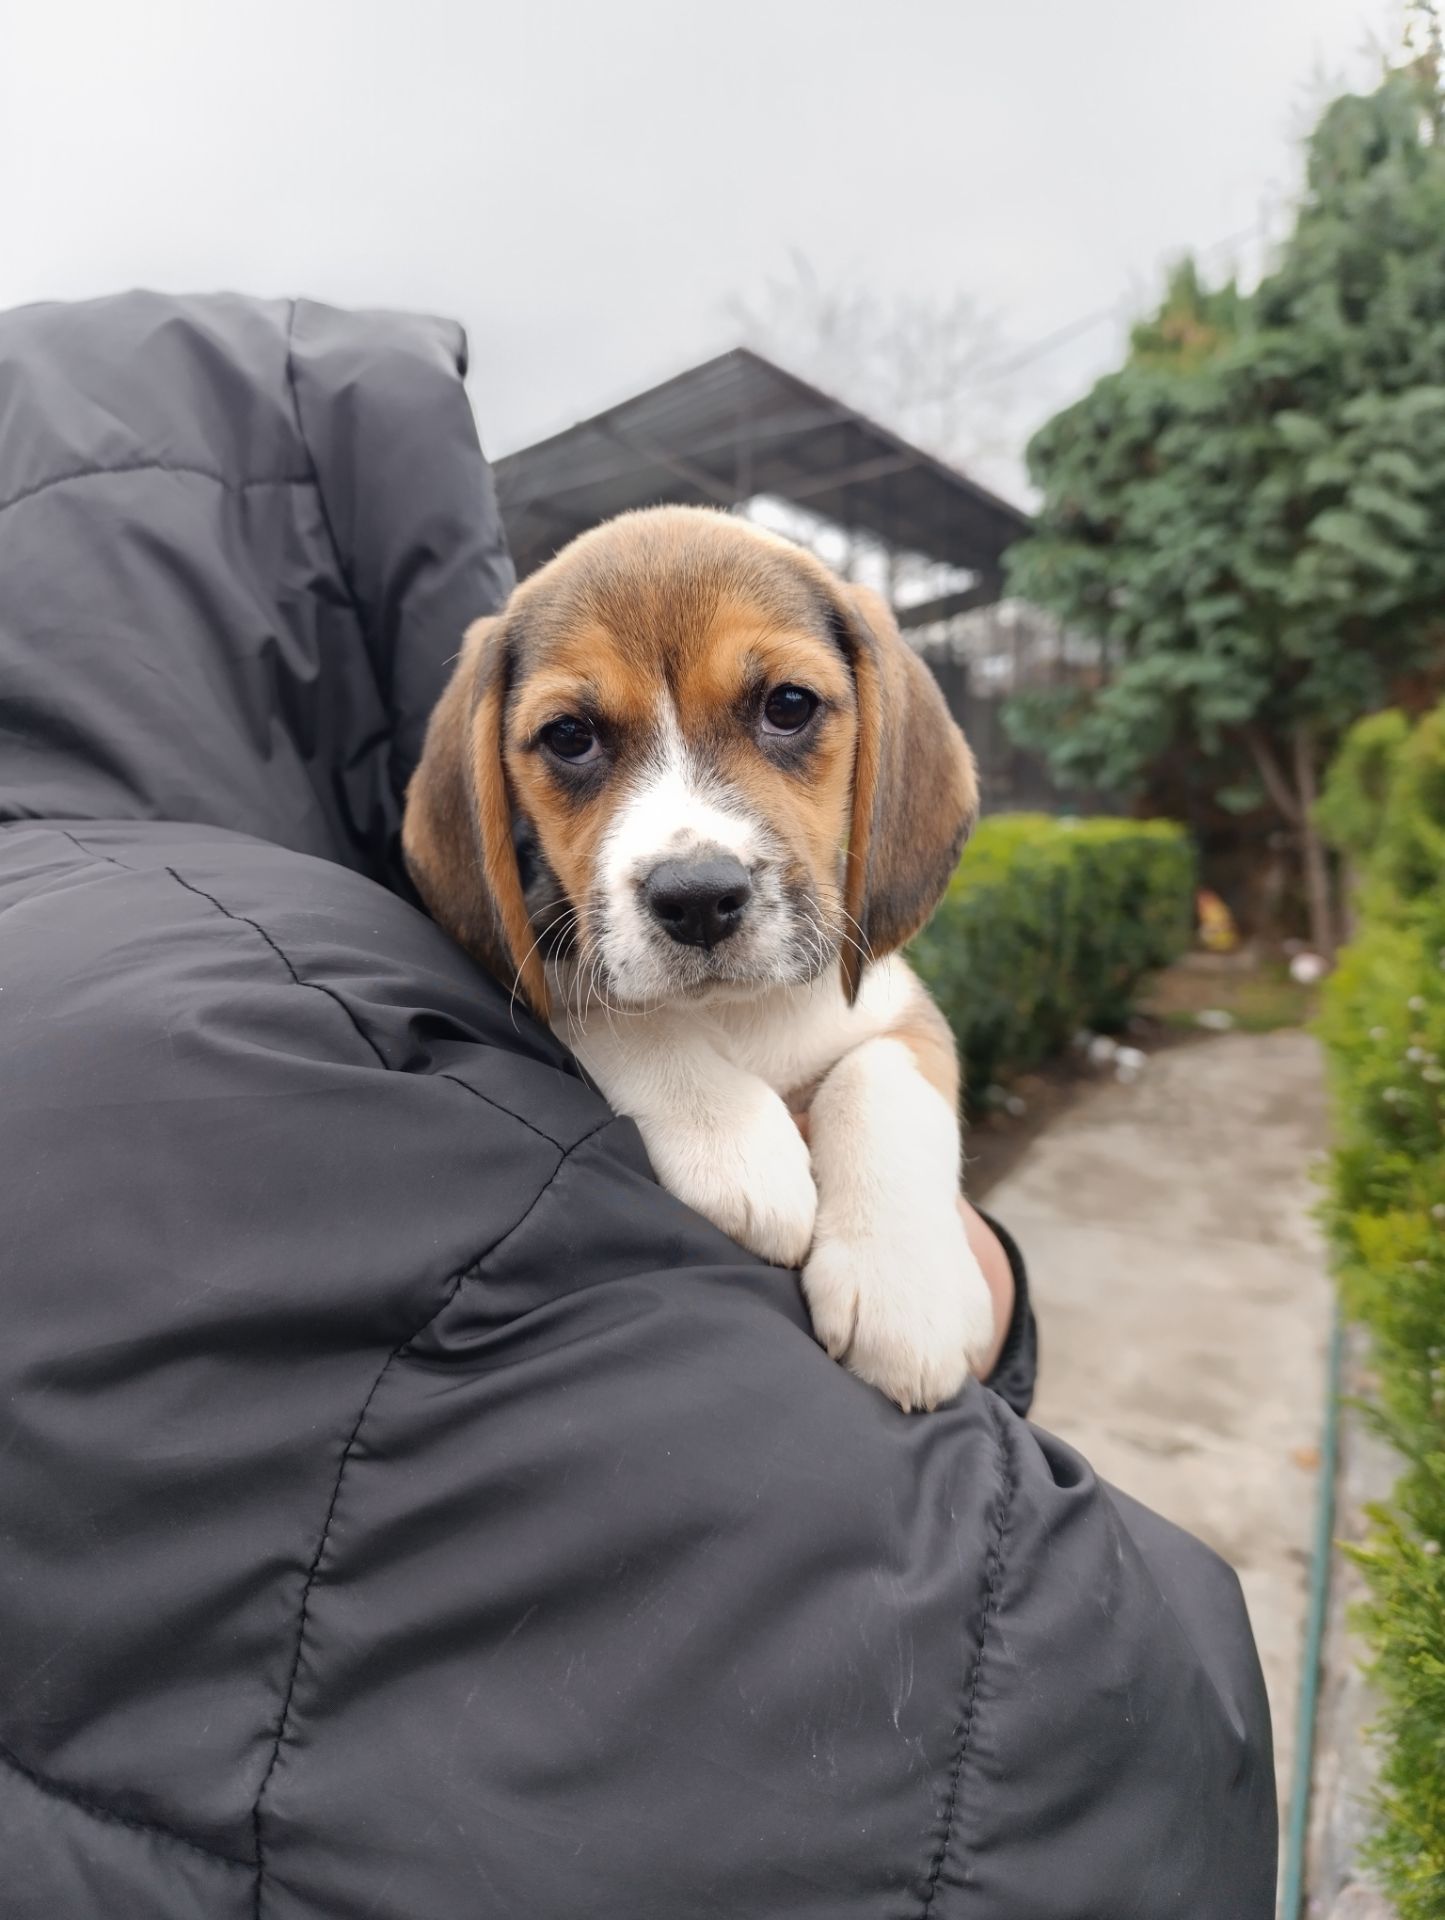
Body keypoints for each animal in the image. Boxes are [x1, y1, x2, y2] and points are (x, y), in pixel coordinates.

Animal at [406, 510, 990, 1413]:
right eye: (569, 736)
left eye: (787, 705)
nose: (697, 899)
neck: (737, 1011)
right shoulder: (574, 974)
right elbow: (617, 1015)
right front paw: (734, 1143)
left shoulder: (899, 1007)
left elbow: (879, 1078)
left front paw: (904, 1289)